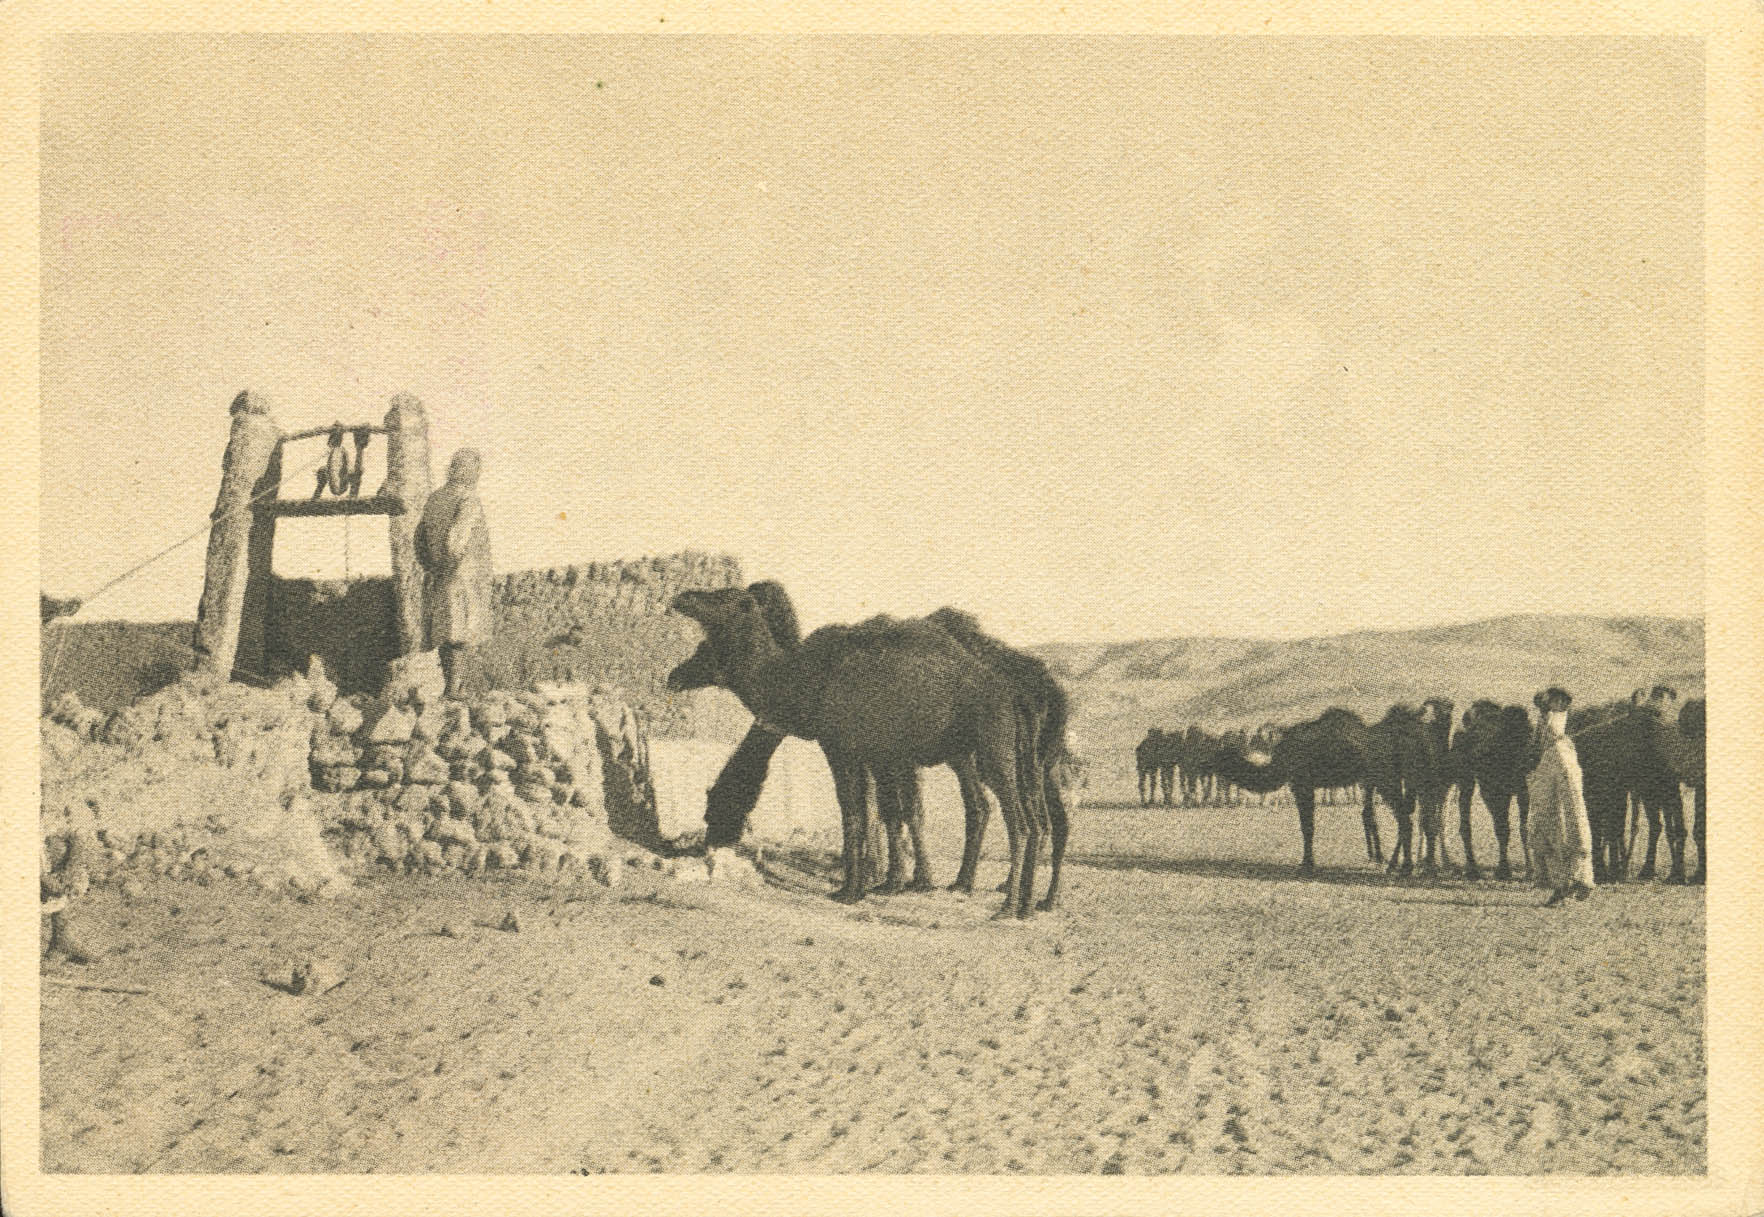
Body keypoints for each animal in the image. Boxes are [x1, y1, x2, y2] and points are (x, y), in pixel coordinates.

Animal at [670, 587, 1047, 917]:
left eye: (722, 597)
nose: (683, 597)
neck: (798, 680)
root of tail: (1016, 693)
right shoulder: (875, 754)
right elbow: (880, 813)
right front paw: (876, 883)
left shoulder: (843, 748)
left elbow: (853, 813)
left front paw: (851, 891)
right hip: (1008, 757)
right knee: (1026, 818)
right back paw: (1024, 904)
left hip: (993, 751)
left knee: (1018, 822)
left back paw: (1007, 906)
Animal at [1449, 700, 1534, 879]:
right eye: (1520, 737)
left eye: (1530, 732)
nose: (1530, 758)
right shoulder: (1493, 791)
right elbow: (1501, 828)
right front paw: (1503, 870)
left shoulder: (1522, 789)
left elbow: (1523, 827)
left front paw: (1530, 871)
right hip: (1466, 776)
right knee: (1465, 818)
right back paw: (1472, 870)